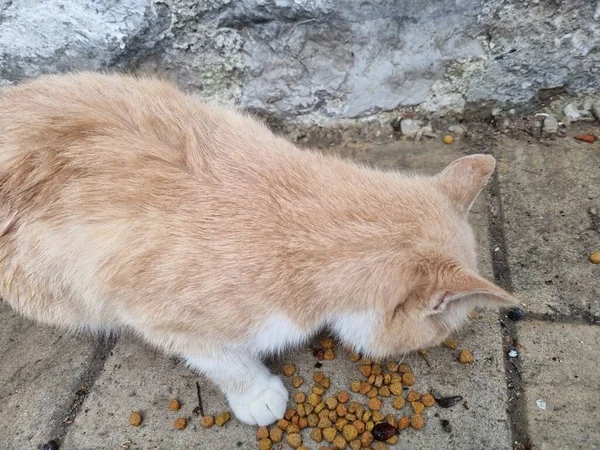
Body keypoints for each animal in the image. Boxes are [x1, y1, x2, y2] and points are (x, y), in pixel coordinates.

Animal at [0, 72, 516, 428]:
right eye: (441, 328)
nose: (435, 346)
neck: (311, 217)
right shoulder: (156, 314)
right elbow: (220, 358)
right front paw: (257, 394)